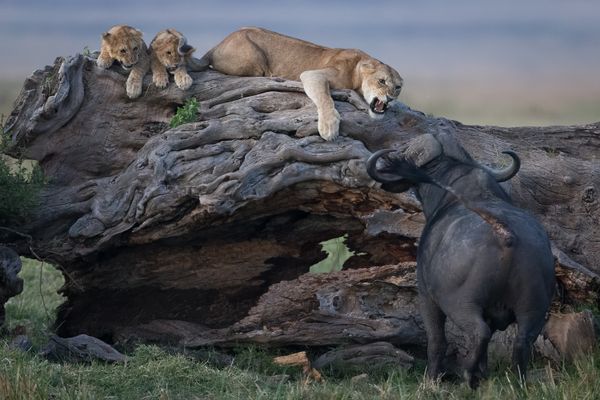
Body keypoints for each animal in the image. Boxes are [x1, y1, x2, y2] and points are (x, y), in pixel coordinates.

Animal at [368, 131, 556, 388]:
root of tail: (506, 235)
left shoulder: (426, 297)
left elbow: (436, 340)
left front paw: (431, 380)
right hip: (534, 308)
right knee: (522, 340)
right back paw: (515, 382)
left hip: (459, 304)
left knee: (479, 332)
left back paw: (468, 375)